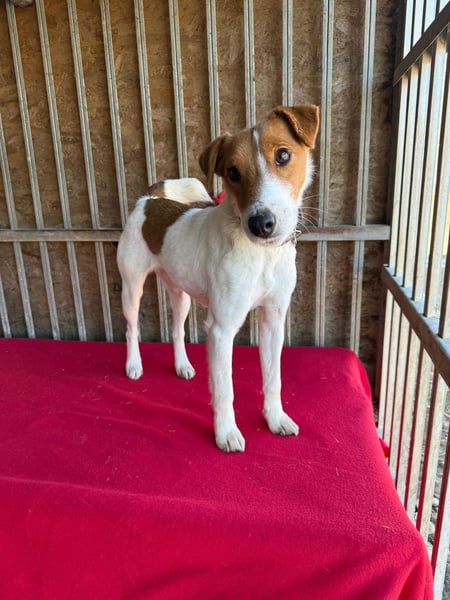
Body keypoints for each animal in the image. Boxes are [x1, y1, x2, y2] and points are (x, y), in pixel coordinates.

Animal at [117, 104, 319, 452]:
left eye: (283, 155)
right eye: (232, 172)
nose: (260, 223)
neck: (262, 254)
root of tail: (150, 200)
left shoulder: (273, 321)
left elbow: (273, 379)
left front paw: (274, 418)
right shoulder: (222, 329)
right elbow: (225, 390)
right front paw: (226, 432)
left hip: (180, 294)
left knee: (177, 330)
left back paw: (182, 365)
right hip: (132, 288)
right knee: (132, 328)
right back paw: (134, 365)